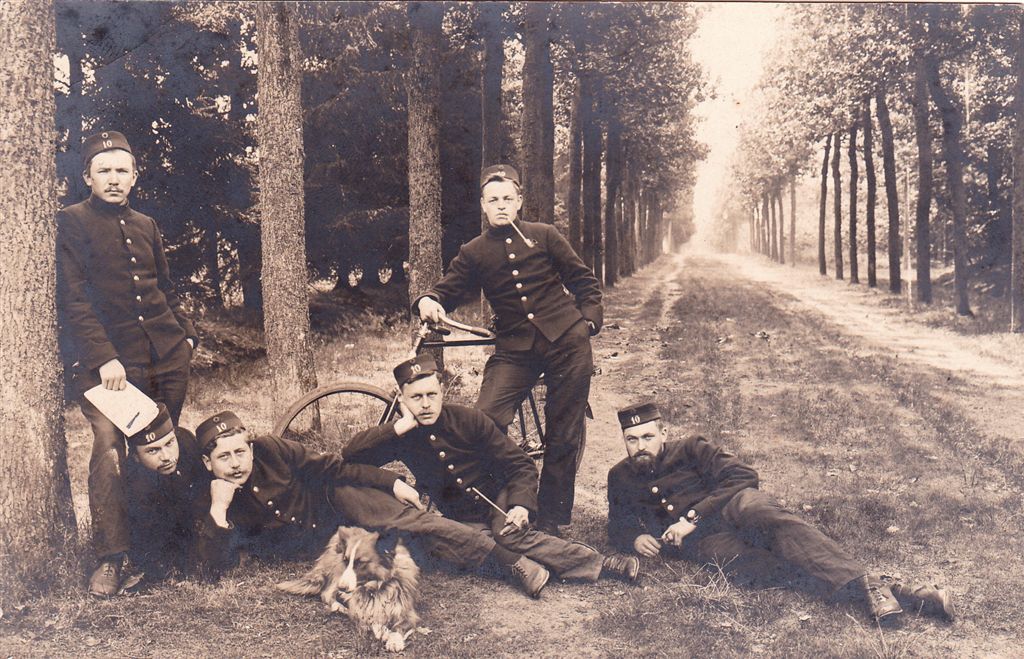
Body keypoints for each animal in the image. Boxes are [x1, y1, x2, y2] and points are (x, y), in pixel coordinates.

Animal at [276, 526, 421, 652]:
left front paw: (394, 641)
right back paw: (340, 607)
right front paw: (382, 630)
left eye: (360, 562)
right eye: (346, 560)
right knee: (327, 593)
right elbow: (369, 617)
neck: (377, 587)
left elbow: (399, 627)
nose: (342, 587)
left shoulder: (408, 613)